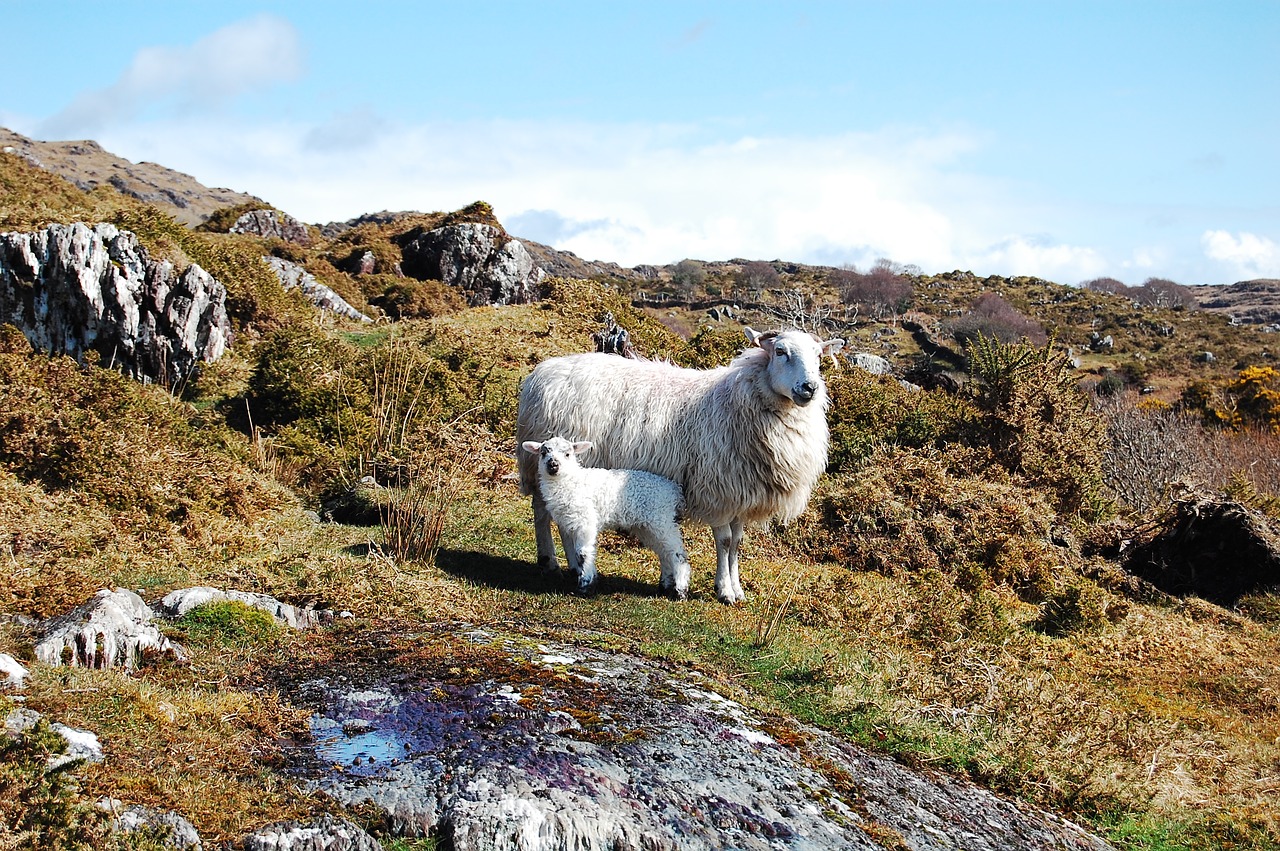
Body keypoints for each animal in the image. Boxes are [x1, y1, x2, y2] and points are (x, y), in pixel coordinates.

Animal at [517, 437, 691, 596]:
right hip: (646, 526)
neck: (571, 482)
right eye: (543, 453)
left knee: (677, 553)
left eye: (567, 454)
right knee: (664, 553)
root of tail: (673, 489)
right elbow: (574, 552)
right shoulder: (569, 523)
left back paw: (681, 590)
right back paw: (665, 586)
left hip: (662, 520)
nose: (553, 464)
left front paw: (585, 586)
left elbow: (582, 553)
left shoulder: (585, 520)